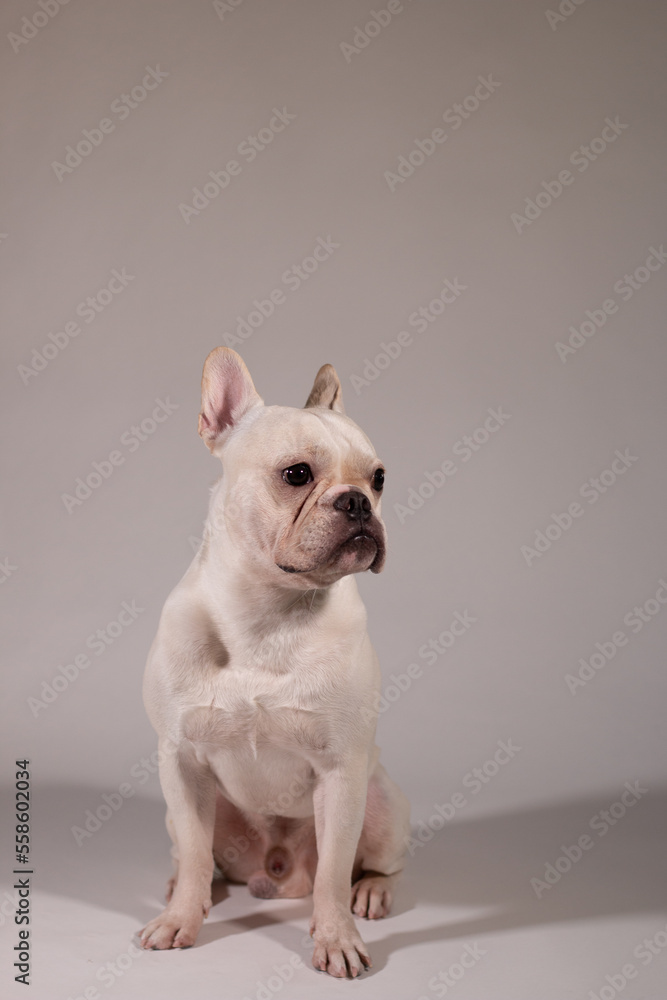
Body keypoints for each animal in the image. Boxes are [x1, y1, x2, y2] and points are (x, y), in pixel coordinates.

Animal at [140, 350, 410, 976]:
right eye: (297, 475)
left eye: (379, 478)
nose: (358, 501)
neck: (268, 614)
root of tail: (278, 874)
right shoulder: (179, 761)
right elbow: (196, 852)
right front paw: (180, 918)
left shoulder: (341, 772)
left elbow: (334, 873)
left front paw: (336, 938)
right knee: (198, 857)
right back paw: (189, 889)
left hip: (383, 801)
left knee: (373, 864)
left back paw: (372, 892)